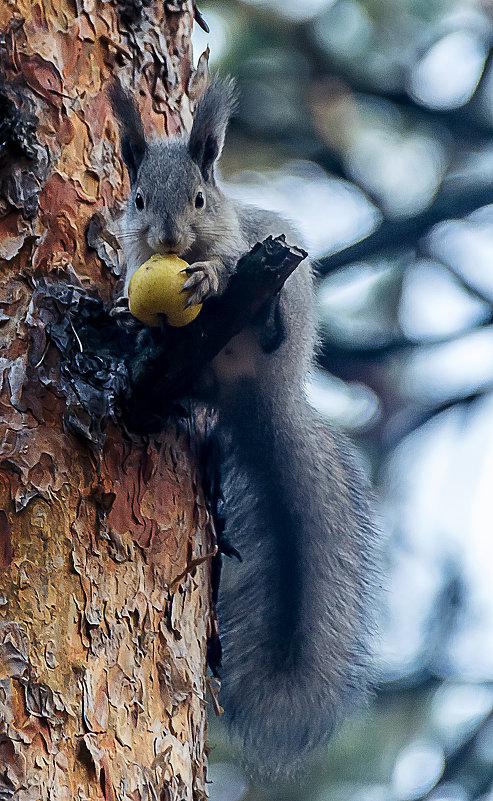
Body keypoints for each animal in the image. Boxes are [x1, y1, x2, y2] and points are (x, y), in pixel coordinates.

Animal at [111, 78, 378, 780]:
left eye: (200, 199)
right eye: (138, 200)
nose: (167, 237)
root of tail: (266, 398)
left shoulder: (245, 240)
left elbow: (228, 263)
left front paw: (209, 275)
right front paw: (131, 318)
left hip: (284, 309)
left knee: (273, 324)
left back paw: (263, 319)